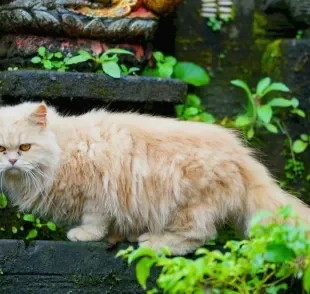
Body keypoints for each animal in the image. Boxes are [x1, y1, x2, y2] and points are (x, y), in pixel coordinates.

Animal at [0, 101, 310, 255]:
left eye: (25, 147)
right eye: (1, 149)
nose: (12, 161)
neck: (63, 147)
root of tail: (241, 155)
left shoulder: (98, 191)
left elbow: (94, 220)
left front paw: (84, 235)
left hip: (190, 208)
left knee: (199, 237)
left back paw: (154, 242)